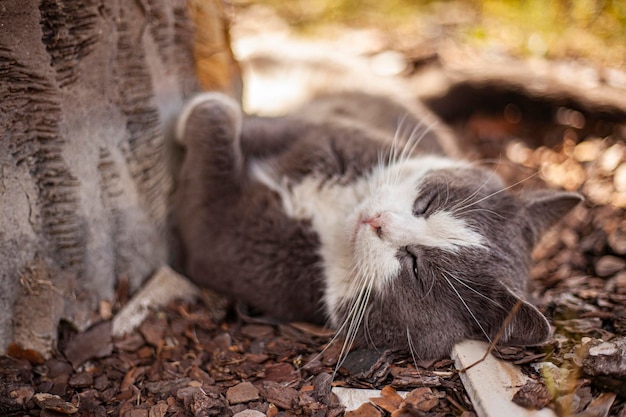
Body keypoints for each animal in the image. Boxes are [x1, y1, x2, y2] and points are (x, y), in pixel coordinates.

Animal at [172, 90, 580, 358]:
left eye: (415, 267)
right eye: (426, 204)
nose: (377, 221)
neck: (336, 217)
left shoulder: (240, 247)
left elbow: (208, 199)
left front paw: (203, 112)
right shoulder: (328, 134)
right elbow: (271, 127)